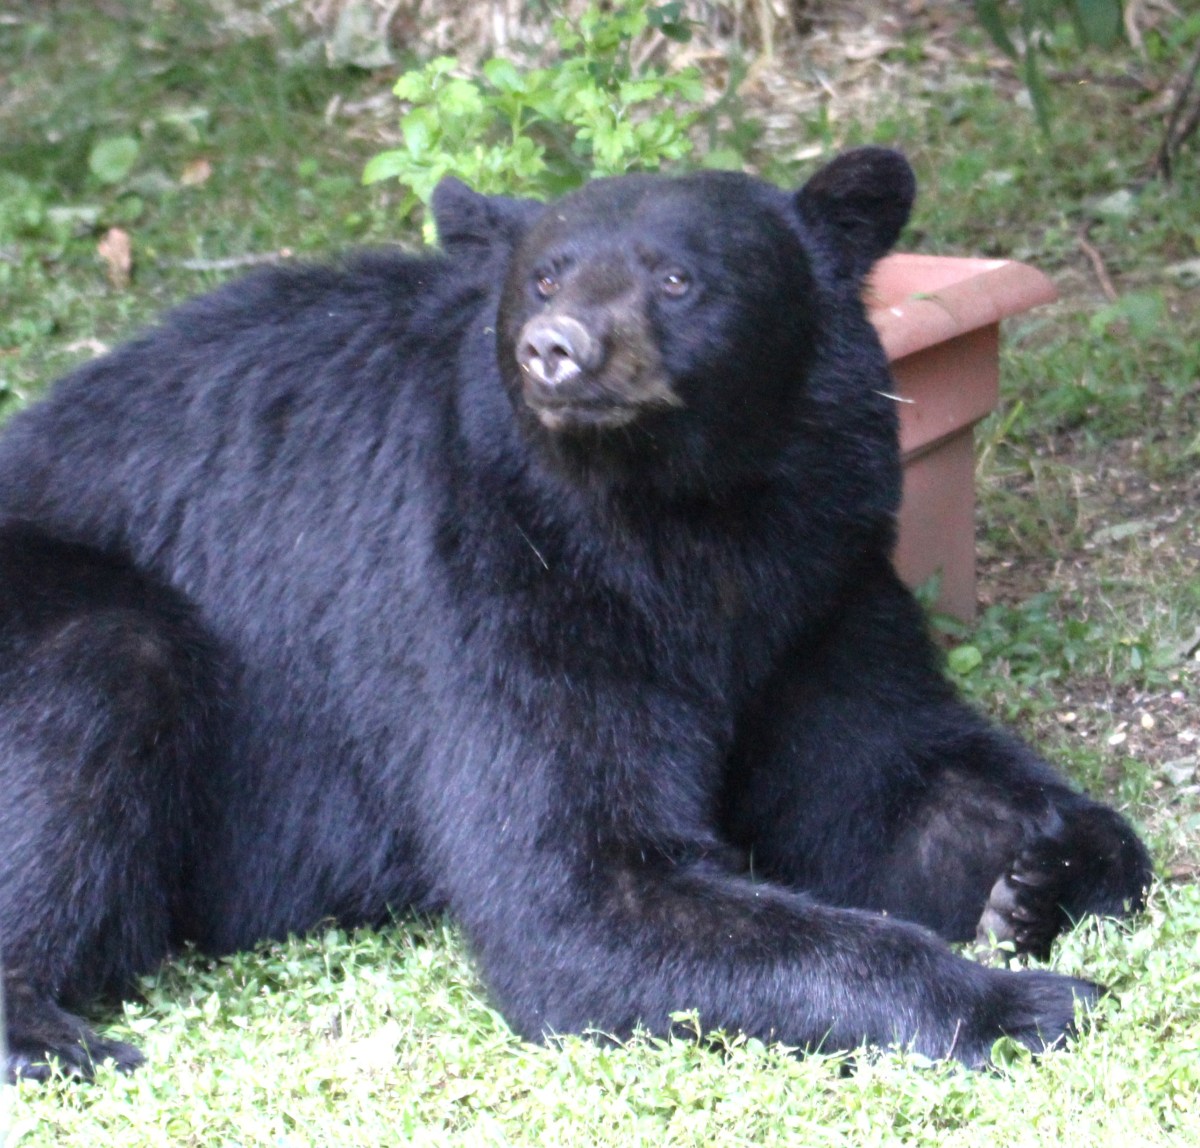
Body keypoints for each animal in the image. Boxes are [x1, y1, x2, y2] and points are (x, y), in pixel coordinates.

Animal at [0, 147, 1152, 1081]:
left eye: (678, 276)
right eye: (544, 276)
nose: (557, 348)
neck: (681, 519)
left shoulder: (819, 585)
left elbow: (889, 777)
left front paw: (1040, 871)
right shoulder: (504, 583)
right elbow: (583, 883)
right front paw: (1017, 1003)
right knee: (104, 670)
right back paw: (53, 1031)